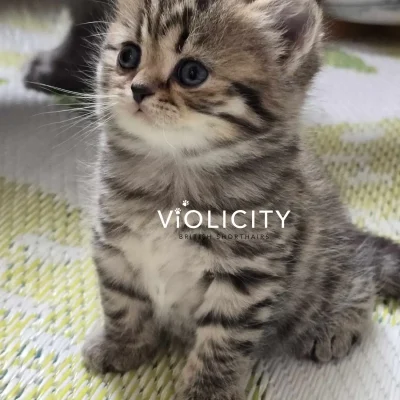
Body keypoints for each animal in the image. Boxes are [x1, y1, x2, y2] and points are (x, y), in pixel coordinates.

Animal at [82, 0, 400, 400]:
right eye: (128, 56)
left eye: (191, 73)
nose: (137, 89)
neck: (174, 173)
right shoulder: (114, 248)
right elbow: (121, 301)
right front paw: (121, 344)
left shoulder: (246, 271)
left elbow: (224, 337)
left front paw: (207, 389)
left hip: (332, 270)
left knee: (362, 283)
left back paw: (333, 325)